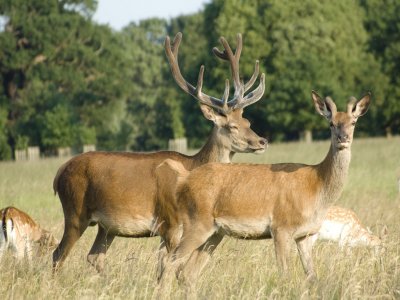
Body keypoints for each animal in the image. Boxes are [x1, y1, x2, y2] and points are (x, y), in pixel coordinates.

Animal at [51, 32, 268, 272]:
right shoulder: (171, 223)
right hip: (75, 212)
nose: (262, 141)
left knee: (94, 256)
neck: (192, 166)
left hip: (107, 226)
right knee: (58, 254)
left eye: (247, 121)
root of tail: (59, 173)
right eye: (232, 126)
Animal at [158, 90, 370, 292]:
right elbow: (284, 276)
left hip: (215, 233)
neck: (316, 186)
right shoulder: (281, 227)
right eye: (331, 124)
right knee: (168, 262)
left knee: (187, 273)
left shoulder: (306, 235)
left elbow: (312, 277)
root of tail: (185, 179)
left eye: (353, 122)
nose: (343, 138)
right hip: (196, 222)